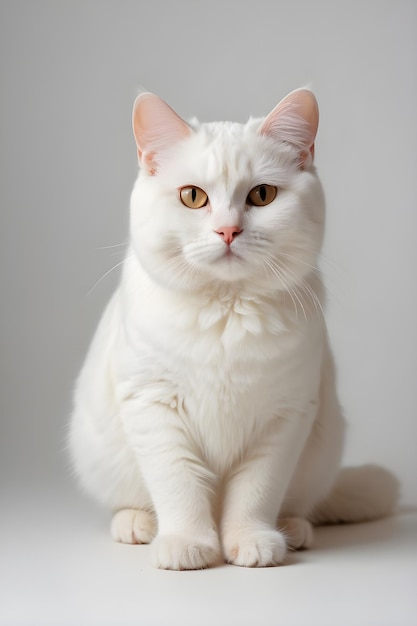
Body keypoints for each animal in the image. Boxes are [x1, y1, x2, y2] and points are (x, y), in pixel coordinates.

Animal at [70, 90, 398, 568]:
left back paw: (294, 530)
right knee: (129, 501)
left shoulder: (284, 417)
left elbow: (255, 492)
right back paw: (136, 525)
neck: (226, 313)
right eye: (192, 197)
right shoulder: (153, 405)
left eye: (262, 195)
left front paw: (251, 541)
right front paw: (188, 544)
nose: (228, 230)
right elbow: (180, 486)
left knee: (303, 505)